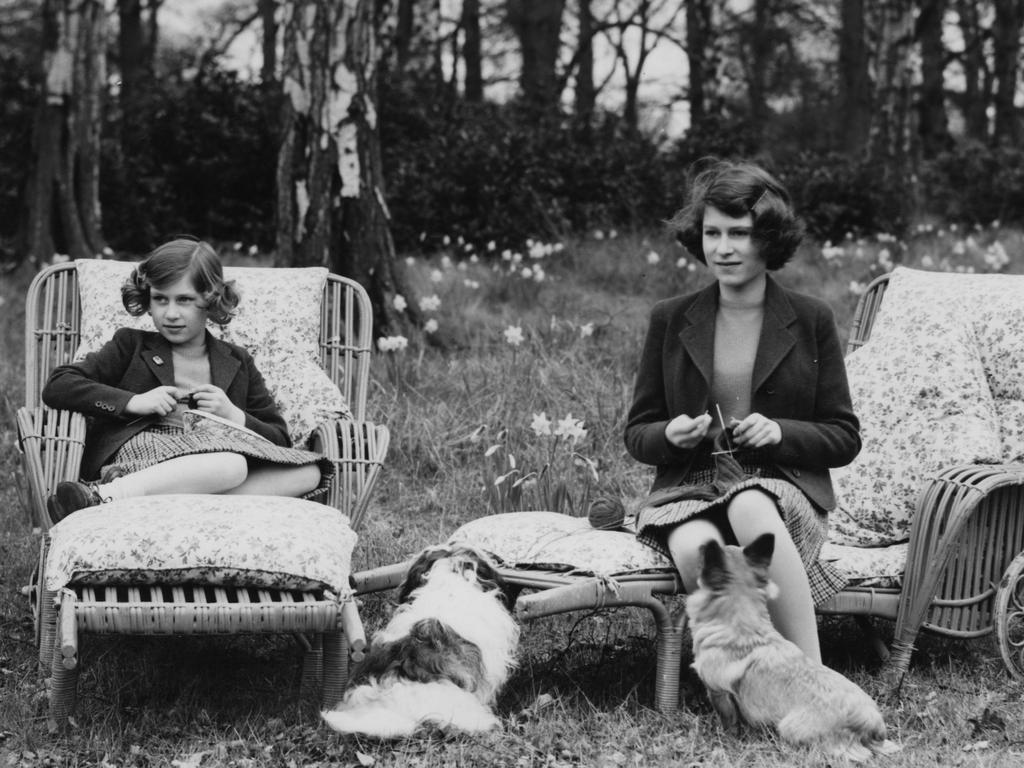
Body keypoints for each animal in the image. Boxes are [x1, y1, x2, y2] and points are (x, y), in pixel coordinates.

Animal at [688, 536, 897, 765]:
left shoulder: (718, 693)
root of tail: (873, 727)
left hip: (789, 728)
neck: (745, 626)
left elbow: (729, 722)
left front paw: (726, 741)